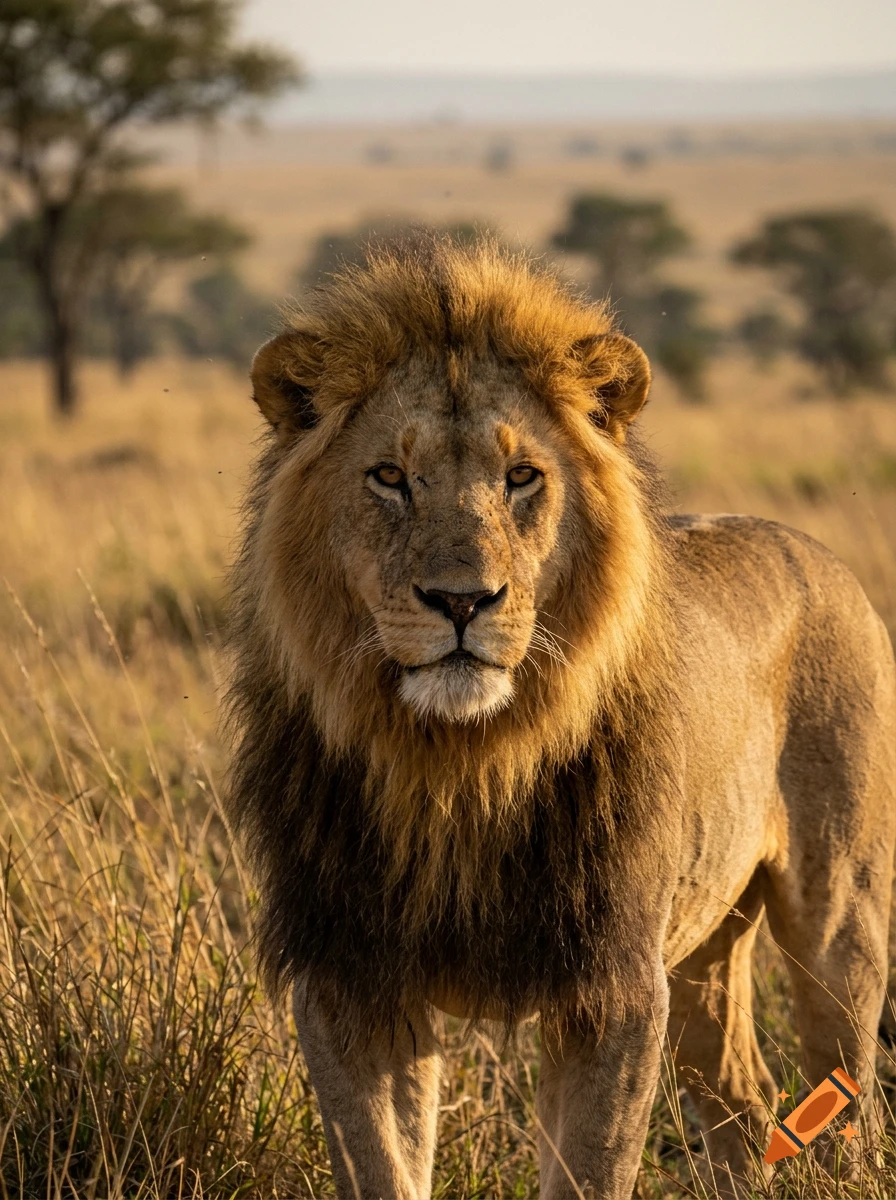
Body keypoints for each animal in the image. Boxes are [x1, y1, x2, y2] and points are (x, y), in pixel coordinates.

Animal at [224, 232, 896, 1200]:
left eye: (521, 478)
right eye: (389, 476)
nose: (461, 601)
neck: (458, 765)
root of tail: (815, 551)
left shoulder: (612, 986)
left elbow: (590, 1166)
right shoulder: (351, 978)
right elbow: (380, 1164)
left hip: (839, 915)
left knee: (846, 1100)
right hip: (704, 941)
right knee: (743, 1096)